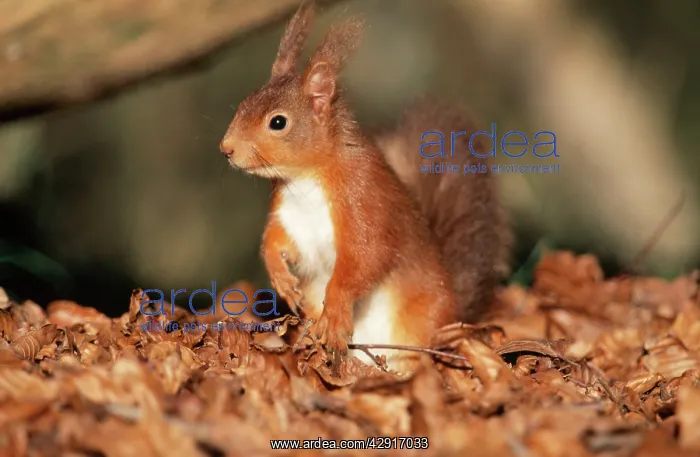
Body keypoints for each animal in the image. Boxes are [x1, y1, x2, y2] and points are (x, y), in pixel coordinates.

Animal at [219, 0, 511, 374]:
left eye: (278, 122)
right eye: (244, 104)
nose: (226, 148)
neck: (306, 179)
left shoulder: (363, 201)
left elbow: (365, 259)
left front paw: (336, 311)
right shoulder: (289, 216)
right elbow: (275, 241)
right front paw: (281, 279)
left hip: (418, 323)